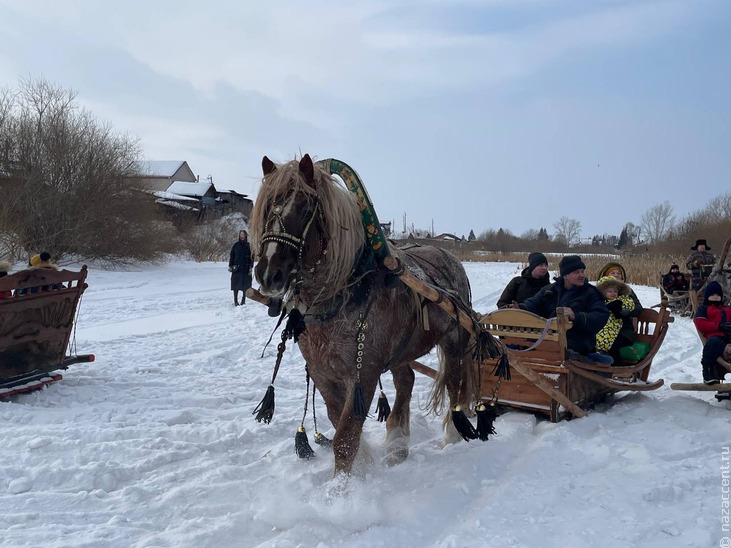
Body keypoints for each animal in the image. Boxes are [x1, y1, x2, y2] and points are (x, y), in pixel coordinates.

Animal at [249, 153, 494, 476]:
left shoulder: (362, 374)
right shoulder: (322, 373)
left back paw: (452, 435)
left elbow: (345, 436)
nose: (268, 273)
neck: (341, 295)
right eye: (267, 207)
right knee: (406, 381)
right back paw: (397, 445)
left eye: (306, 208)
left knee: (455, 385)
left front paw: (342, 487)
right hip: (401, 349)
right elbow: (336, 421)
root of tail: (451, 258)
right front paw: (363, 466)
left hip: (454, 339)